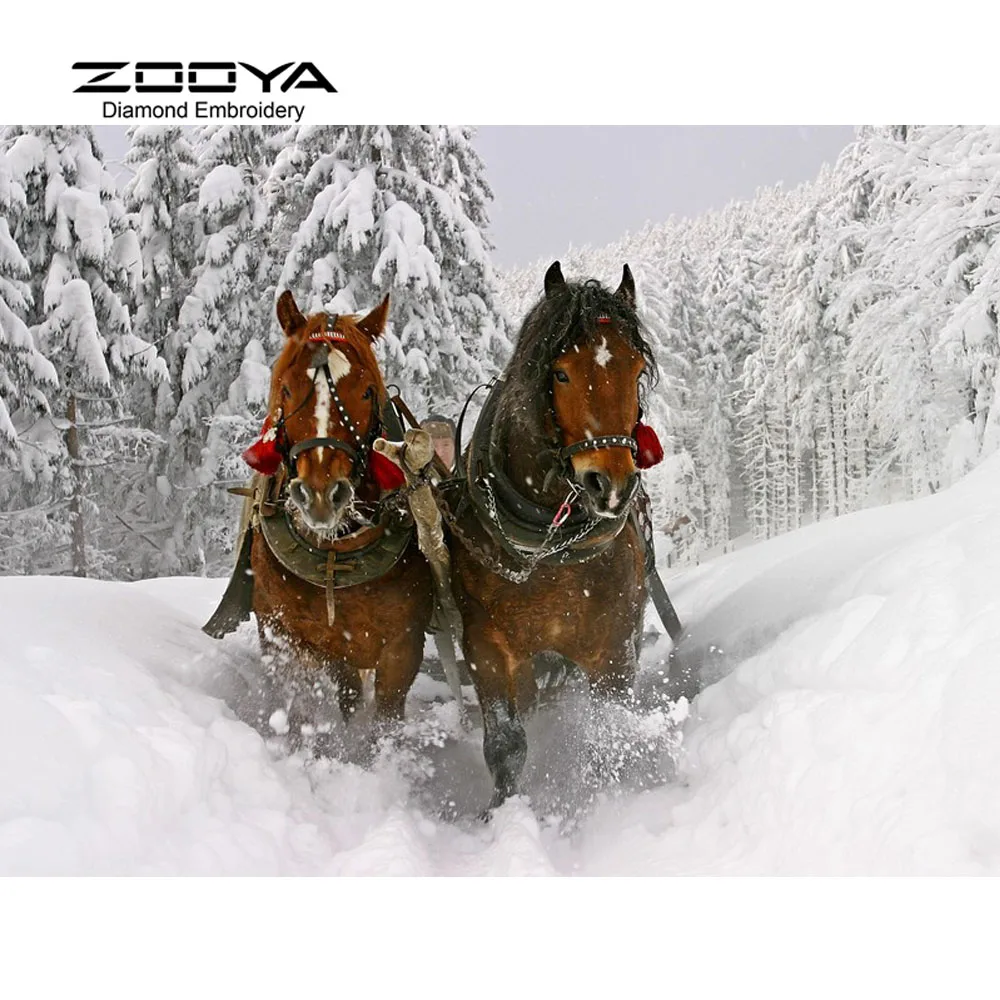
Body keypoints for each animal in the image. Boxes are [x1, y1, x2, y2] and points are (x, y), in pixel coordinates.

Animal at [205, 290, 435, 744]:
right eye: (287, 388)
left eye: (366, 392)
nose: (320, 495)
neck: (336, 555)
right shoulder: (297, 637)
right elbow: (323, 700)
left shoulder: (403, 645)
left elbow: (386, 716)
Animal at [441, 261, 661, 809]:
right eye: (560, 373)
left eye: (635, 371)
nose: (611, 484)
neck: (547, 548)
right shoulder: (487, 649)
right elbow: (506, 745)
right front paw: (502, 814)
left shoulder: (613, 647)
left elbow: (609, 732)